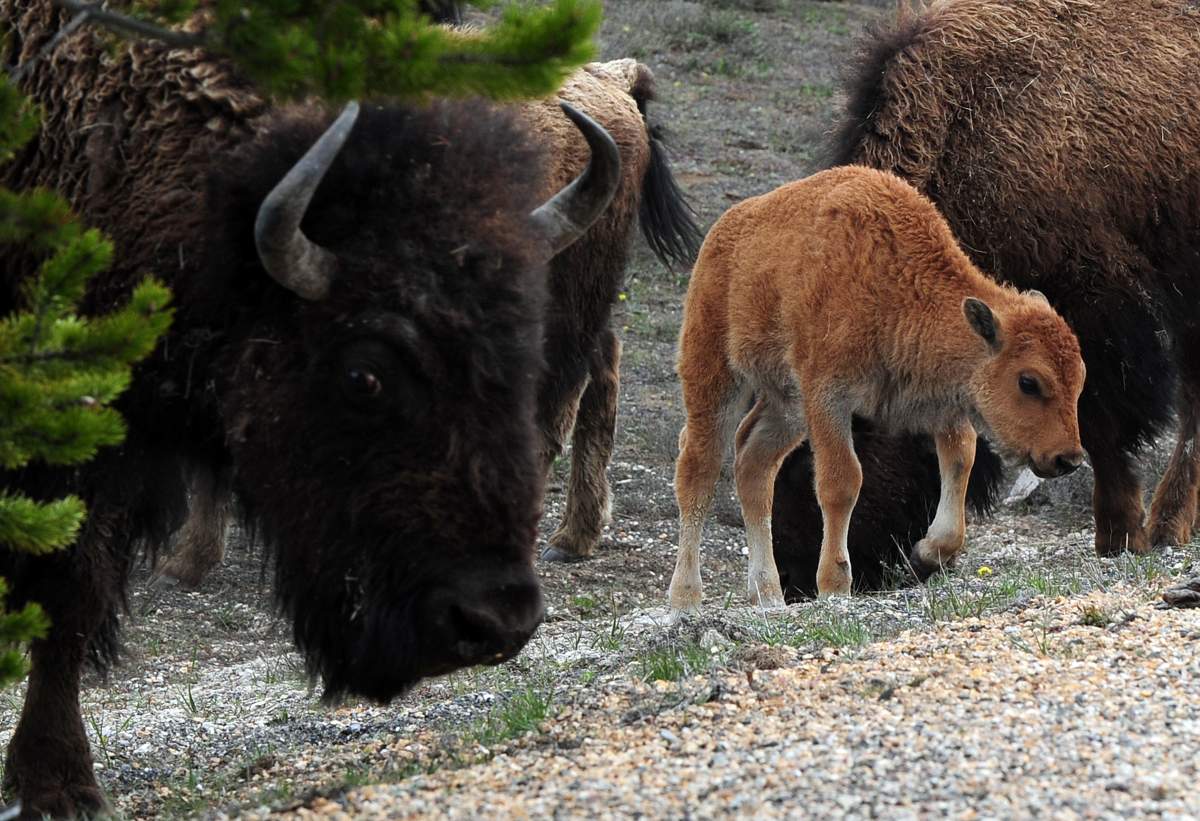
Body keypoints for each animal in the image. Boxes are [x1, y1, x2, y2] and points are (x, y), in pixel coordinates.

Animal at [668, 166, 1085, 613]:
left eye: (1080, 379)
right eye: (1029, 381)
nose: (1068, 458)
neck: (894, 280)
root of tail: (721, 235)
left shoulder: (943, 400)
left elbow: (960, 460)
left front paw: (926, 555)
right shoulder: (827, 396)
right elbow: (842, 481)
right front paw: (835, 583)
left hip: (787, 404)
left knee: (753, 463)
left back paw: (767, 594)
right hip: (715, 373)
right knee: (698, 467)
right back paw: (686, 597)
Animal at [771, 0, 1200, 594]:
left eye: (809, 460)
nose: (793, 581)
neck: (965, 132)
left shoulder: (1094, 306)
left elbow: (1099, 423)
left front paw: (1119, 535)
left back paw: (1165, 524)